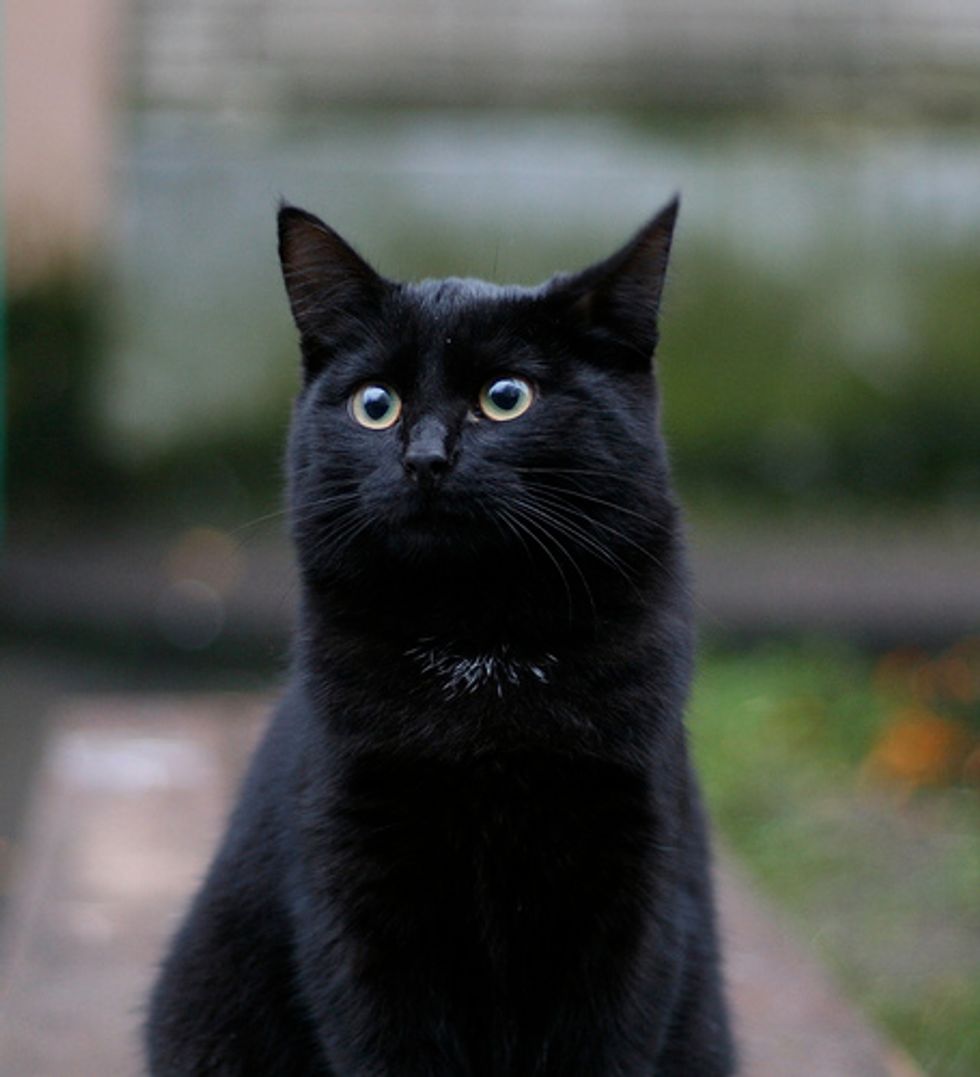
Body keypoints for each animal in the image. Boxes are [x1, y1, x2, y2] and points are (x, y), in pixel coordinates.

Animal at [145, 198, 736, 1072]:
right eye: (375, 403)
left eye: (506, 395)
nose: (425, 457)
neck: (479, 650)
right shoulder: (356, 889)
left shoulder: (633, 889)